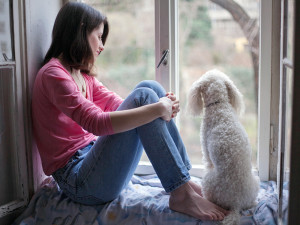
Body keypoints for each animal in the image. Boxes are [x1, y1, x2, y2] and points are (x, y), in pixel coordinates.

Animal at [188, 69, 260, 224]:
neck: (218, 104)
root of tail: (236, 204)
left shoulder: (206, 153)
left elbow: (207, 162)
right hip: (255, 181)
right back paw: (254, 203)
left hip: (208, 182)